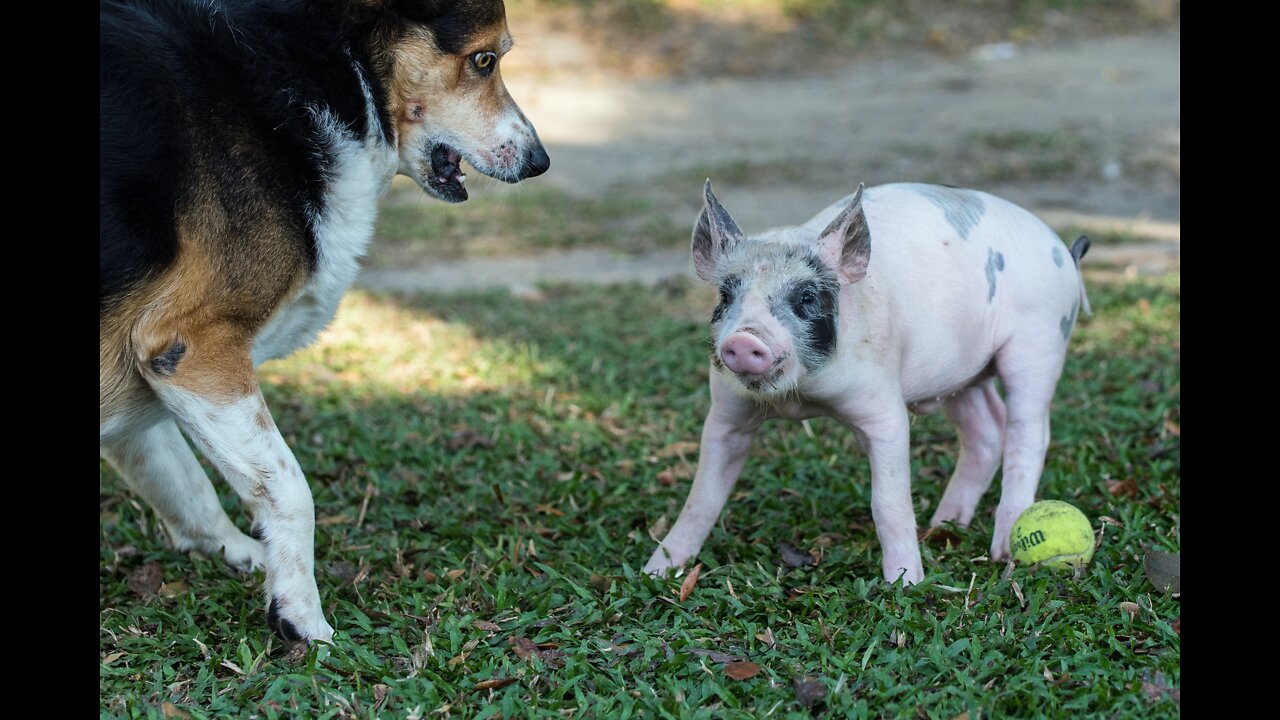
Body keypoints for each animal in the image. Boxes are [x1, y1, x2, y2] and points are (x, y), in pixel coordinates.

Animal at [94, 0, 545, 638]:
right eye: (485, 60)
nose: (540, 162)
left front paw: (246, 558)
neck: (313, 62)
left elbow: (187, 487)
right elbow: (289, 490)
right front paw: (302, 619)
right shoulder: (191, 347)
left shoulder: (147, 372)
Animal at [650, 179, 1090, 584]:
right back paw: (943, 524)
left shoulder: (884, 408)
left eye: (806, 297)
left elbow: (888, 503)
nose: (744, 340)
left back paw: (1003, 551)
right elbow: (702, 497)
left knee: (1028, 433)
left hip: (1040, 342)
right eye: (726, 296)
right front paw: (656, 571)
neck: (800, 398)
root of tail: (1064, 253)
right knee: (986, 429)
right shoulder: (727, 413)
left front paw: (905, 583)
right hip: (961, 376)